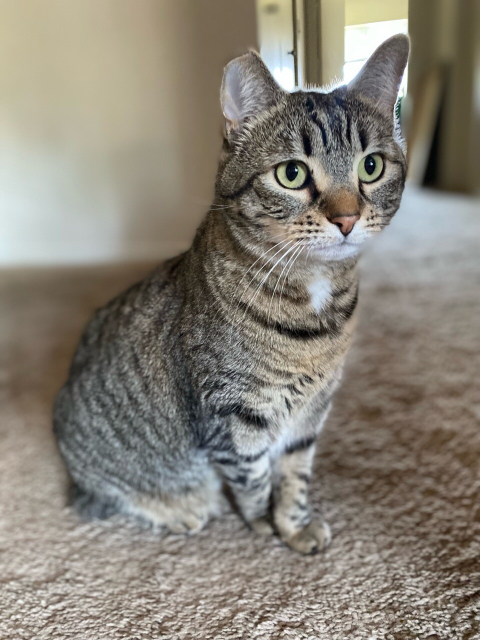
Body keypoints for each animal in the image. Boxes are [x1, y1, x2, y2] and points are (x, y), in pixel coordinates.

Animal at [55, 35, 408, 556]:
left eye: (371, 166)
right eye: (291, 174)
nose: (346, 218)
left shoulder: (310, 414)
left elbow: (294, 475)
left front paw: (295, 524)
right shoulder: (234, 420)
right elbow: (254, 480)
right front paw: (265, 525)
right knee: (110, 496)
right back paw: (181, 508)